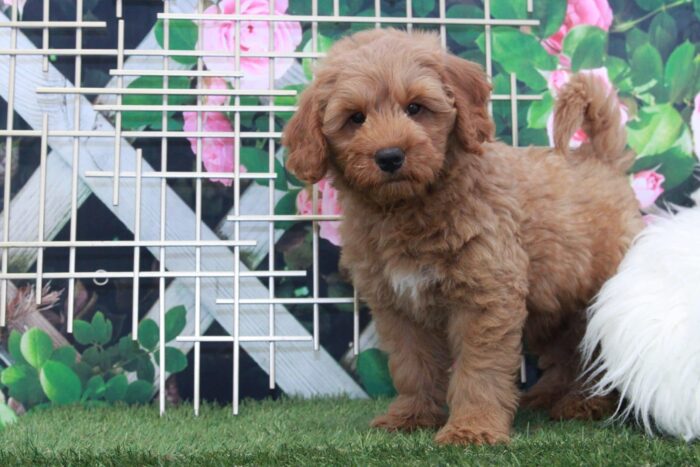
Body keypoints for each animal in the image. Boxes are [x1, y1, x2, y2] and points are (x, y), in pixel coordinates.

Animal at [282, 29, 644, 446]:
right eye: (355, 118)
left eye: (416, 108)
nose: (389, 156)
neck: (410, 207)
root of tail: (601, 158)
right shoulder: (399, 307)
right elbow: (413, 365)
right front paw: (413, 415)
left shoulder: (485, 298)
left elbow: (479, 369)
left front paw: (472, 428)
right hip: (551, 303)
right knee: (566, 350)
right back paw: (548, 395)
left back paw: (585, 403)